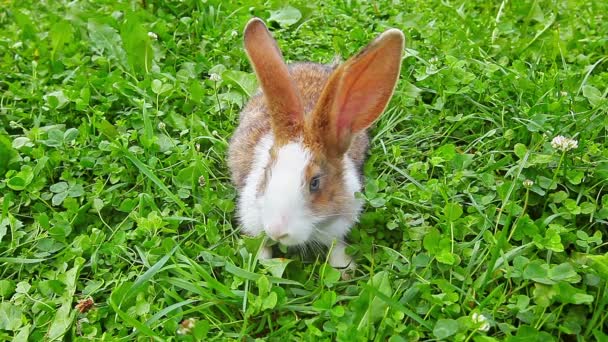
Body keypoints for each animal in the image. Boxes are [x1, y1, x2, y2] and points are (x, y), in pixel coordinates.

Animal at [228, 17, 404, 276]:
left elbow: (336, 246)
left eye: (315, 183)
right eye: (267, 173)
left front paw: (344, 269)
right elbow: (259, 243)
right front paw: (261, 263)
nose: (277, 231)